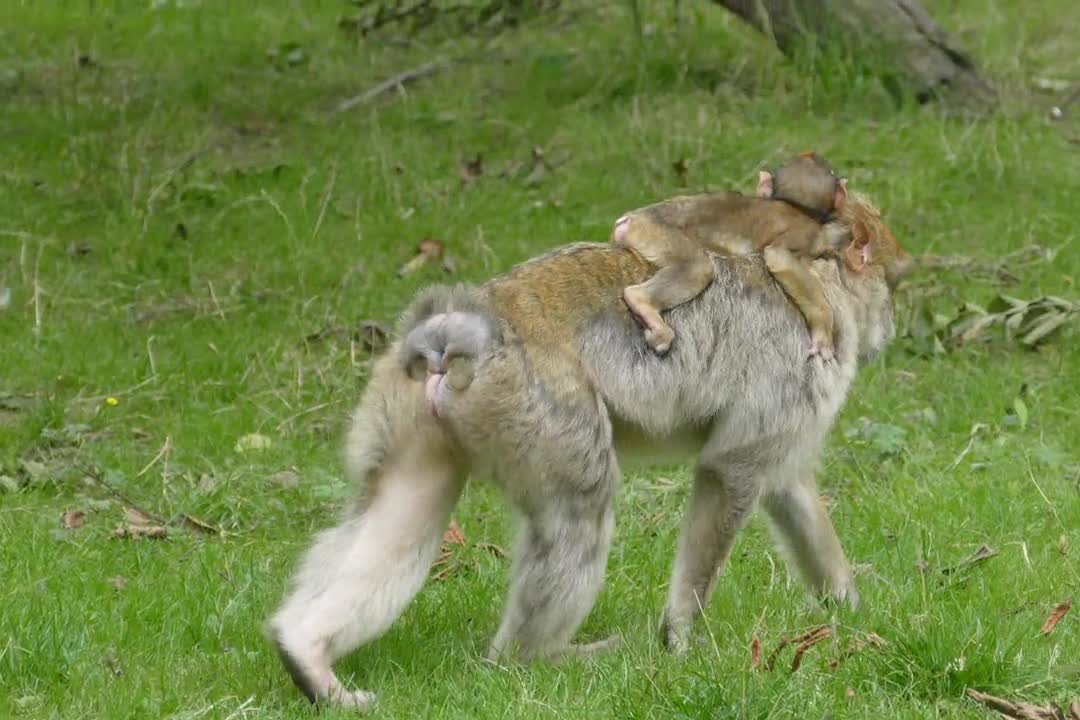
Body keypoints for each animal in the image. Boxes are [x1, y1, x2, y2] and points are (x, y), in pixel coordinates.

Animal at [266, 191, 913, 710]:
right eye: (895, 284)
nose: (892, 324)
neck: (821, 291)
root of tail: (461, 324)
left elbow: (785, 485)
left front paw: (846, 604)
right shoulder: (798, 369)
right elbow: (729, 471)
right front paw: (682, 639)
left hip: (409, 411)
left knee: (401, 516)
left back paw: (307, 653)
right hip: (541, 408)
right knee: (579, 510)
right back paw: (536, 657)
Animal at [610, 152, 850, 359]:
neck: (795, 205)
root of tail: (630, 219)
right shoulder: (807, 233)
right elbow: (780, 257)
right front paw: (824, 330)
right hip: (655, 232)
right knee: (698, 267)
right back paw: (641, 302)